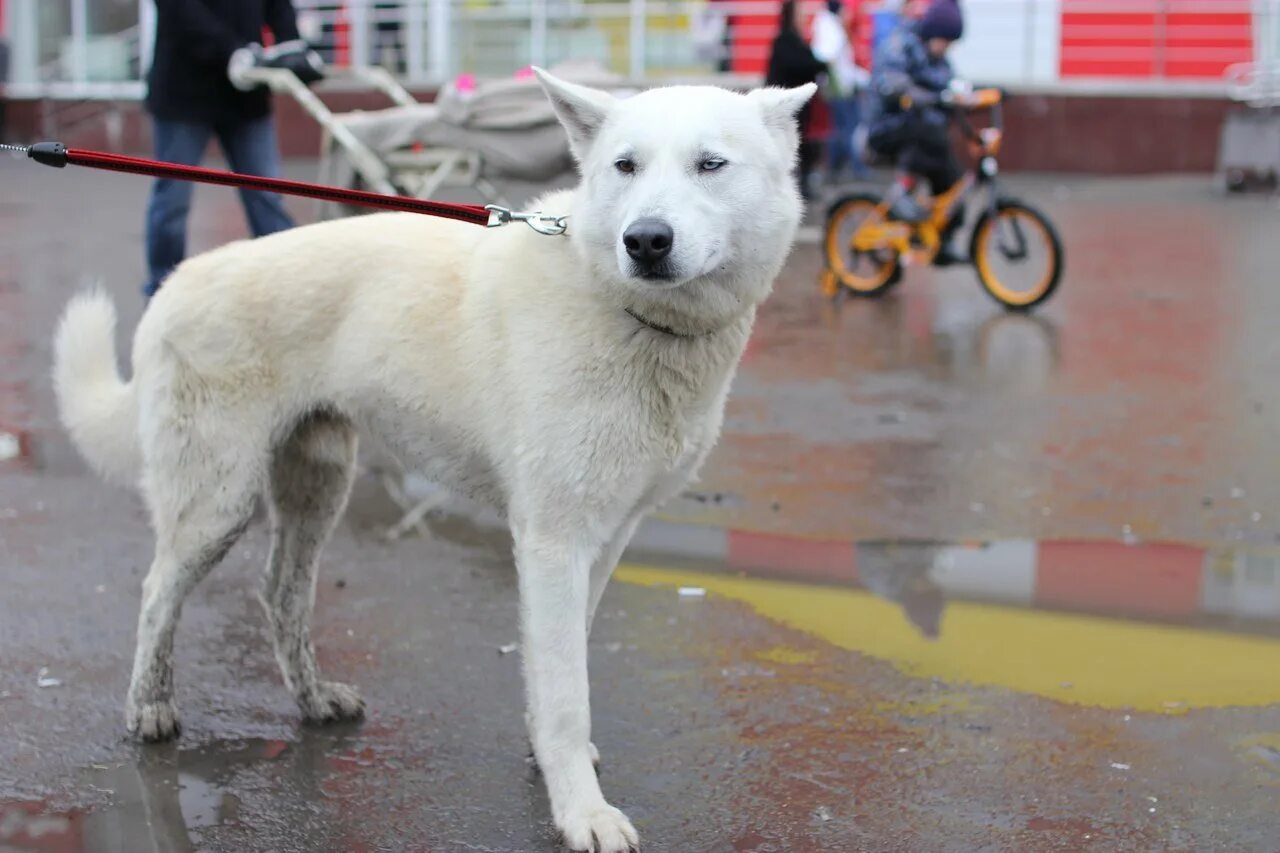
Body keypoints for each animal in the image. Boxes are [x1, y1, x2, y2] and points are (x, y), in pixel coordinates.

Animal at [55, 71, 814, 845]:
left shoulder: (603, 540)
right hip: (219, 500)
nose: (645, 241)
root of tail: (175, 282)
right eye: (624, 166)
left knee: (281, 593)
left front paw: (550, 761)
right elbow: (567, 693)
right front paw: (582, 812)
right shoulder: (553, 540)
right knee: (158, 591)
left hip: (316, 485)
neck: (618, 303)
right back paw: (149, 707)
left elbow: (558, 666)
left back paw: (313, 698)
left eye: (710, 164)